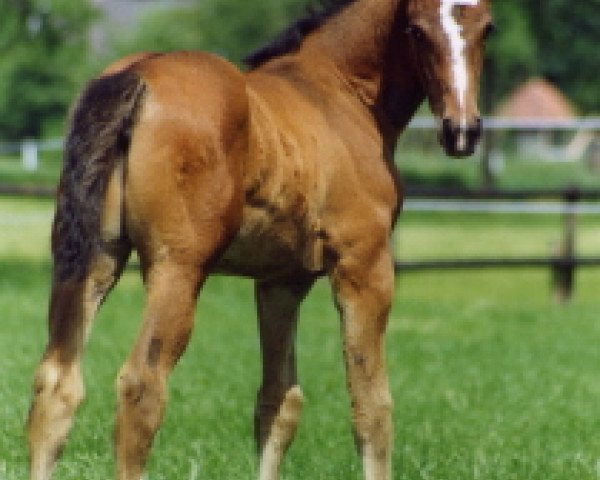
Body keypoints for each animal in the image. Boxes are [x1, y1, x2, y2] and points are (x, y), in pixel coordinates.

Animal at [25, 0, 492, 480]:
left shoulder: (282, 281)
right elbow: (371, 406)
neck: (341, 94)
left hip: (88, 261)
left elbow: (278, 402)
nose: (462, 131)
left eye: (487, 28)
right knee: (142, 387)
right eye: (416, 31)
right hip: (178, 268)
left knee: (56, 382)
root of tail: (138, 74)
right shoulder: (364, 266)